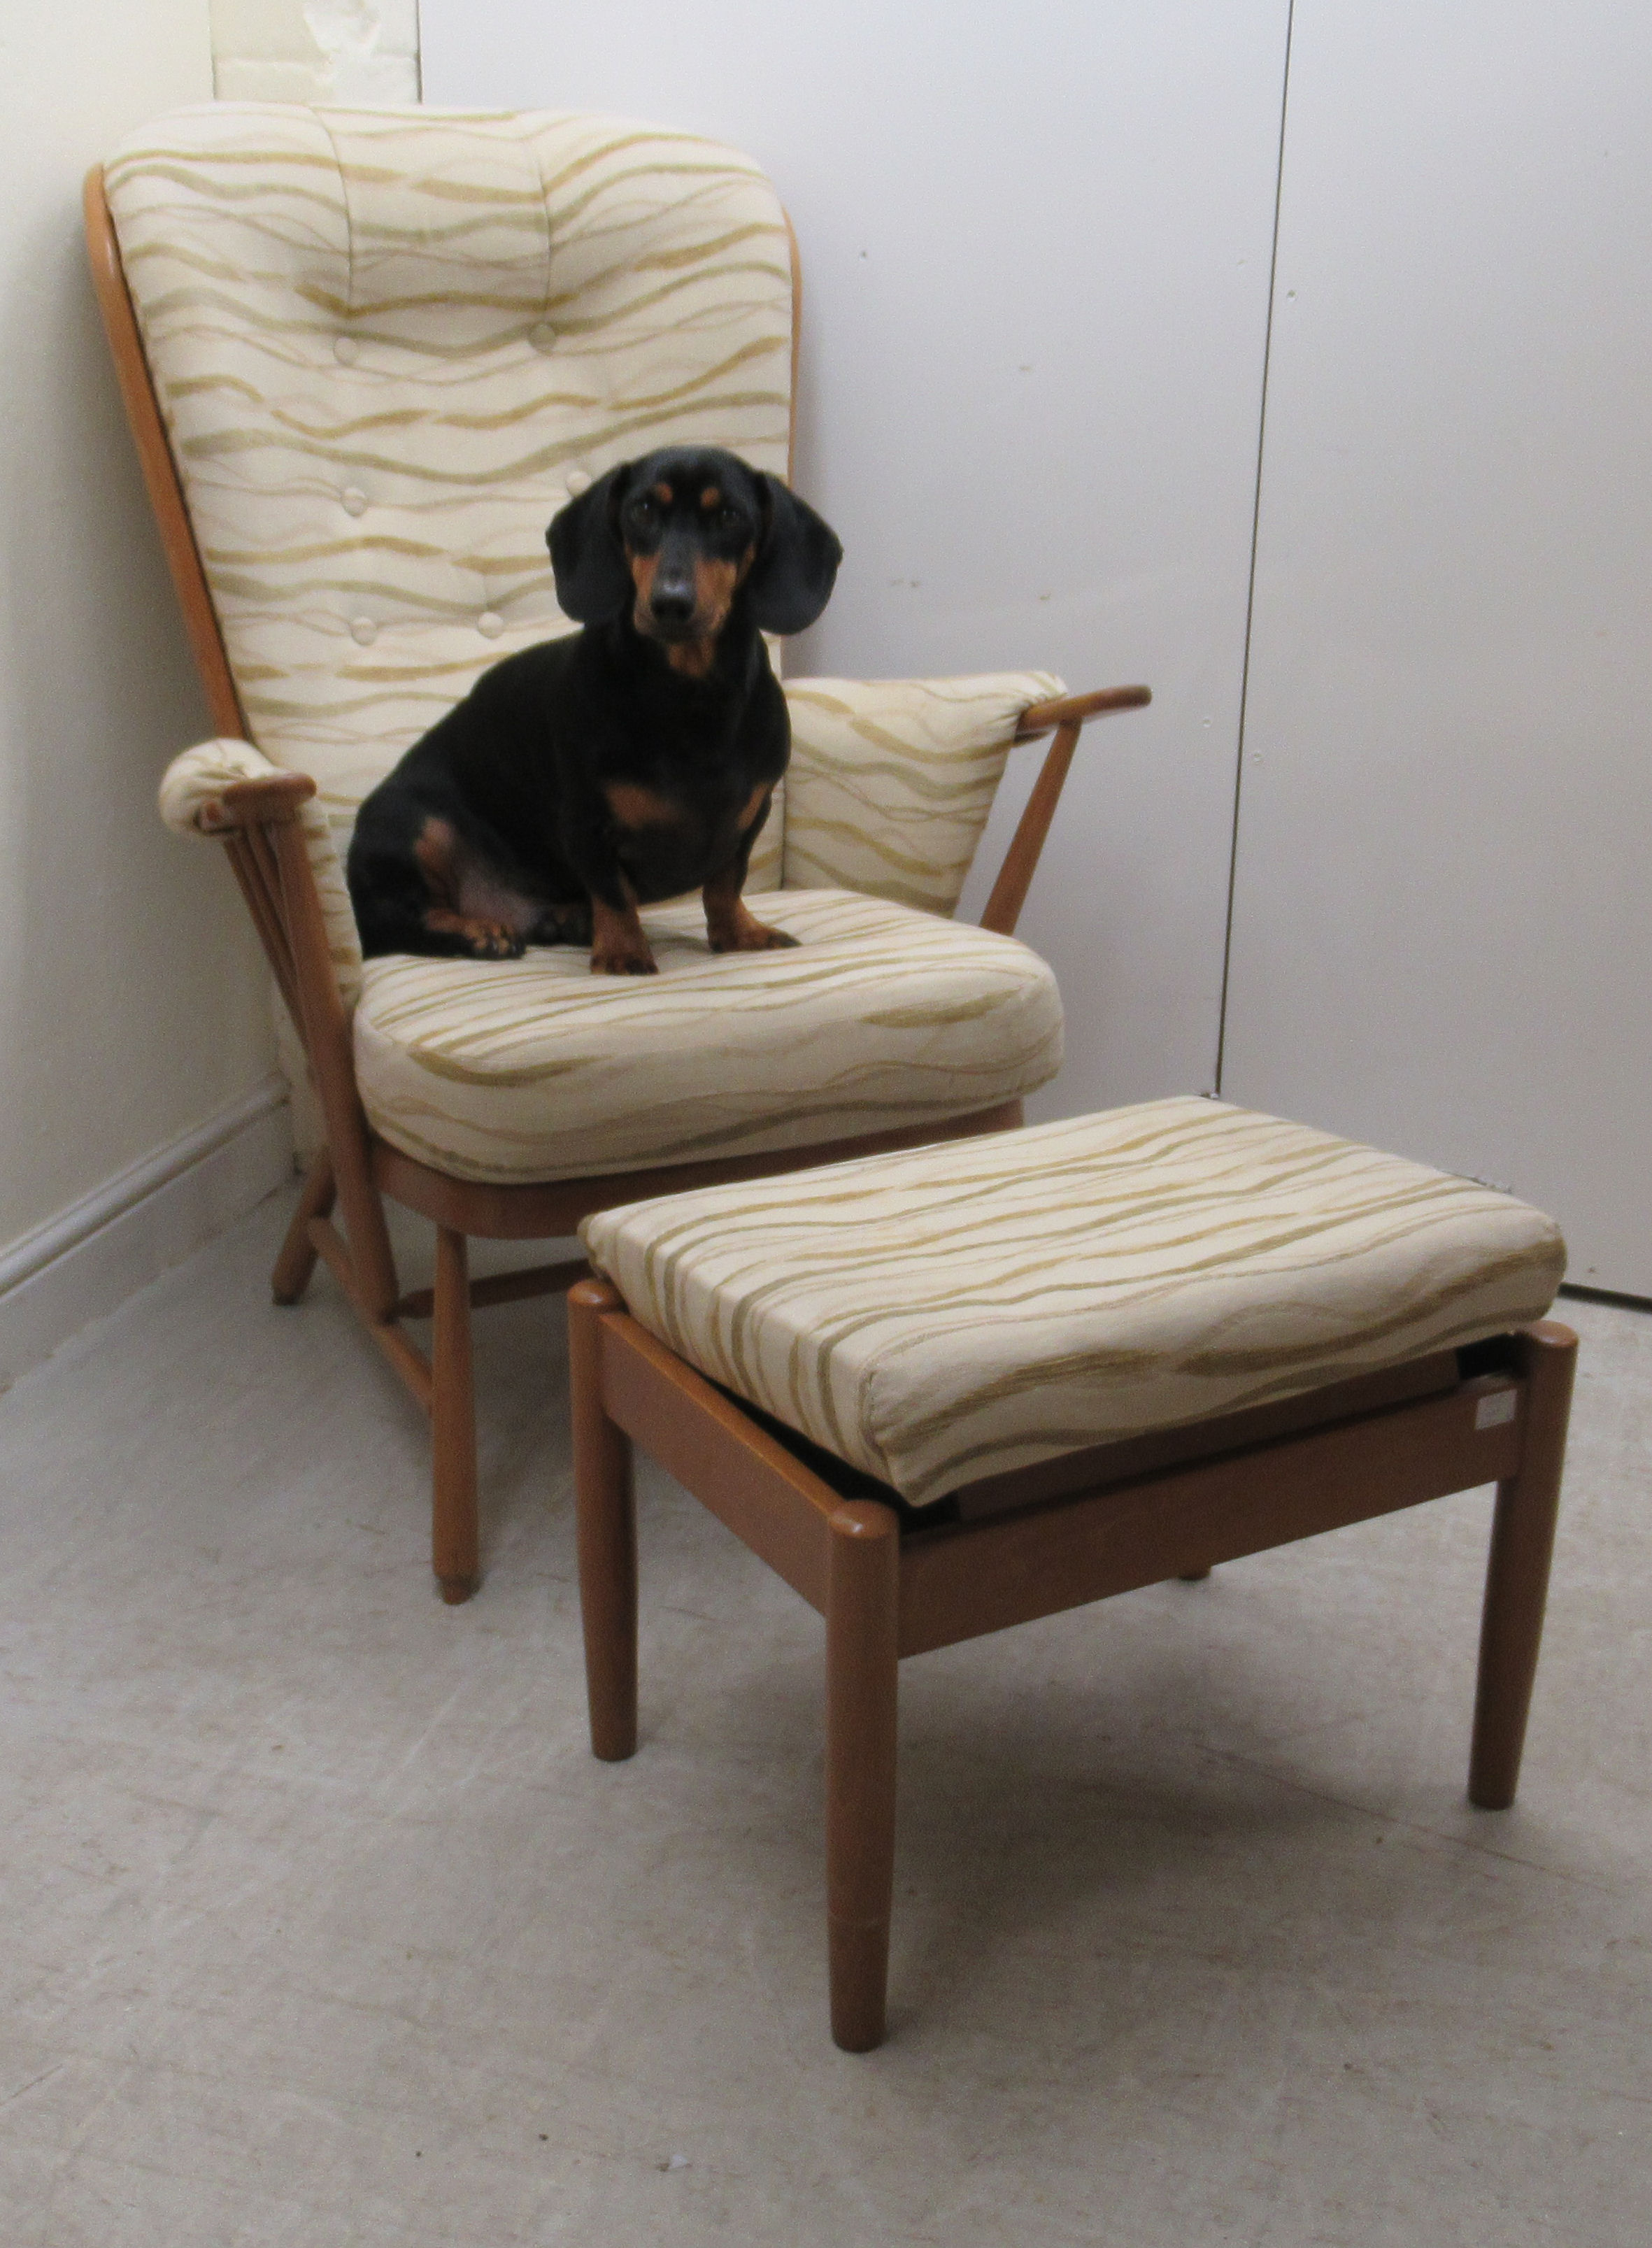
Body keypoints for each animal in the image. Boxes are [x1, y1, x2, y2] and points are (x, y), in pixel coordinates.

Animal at [346, 447, 840, 975]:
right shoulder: (585, 821)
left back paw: (564, 921)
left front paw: (739, 933)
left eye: (730, 516)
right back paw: (479, 933)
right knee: (395, 920)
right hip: (413, 825)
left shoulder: (752, 814)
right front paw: (623, 952)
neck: (688, 694)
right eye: (642, 510)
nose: (670, 603)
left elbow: (726, 883)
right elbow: (614, 893)